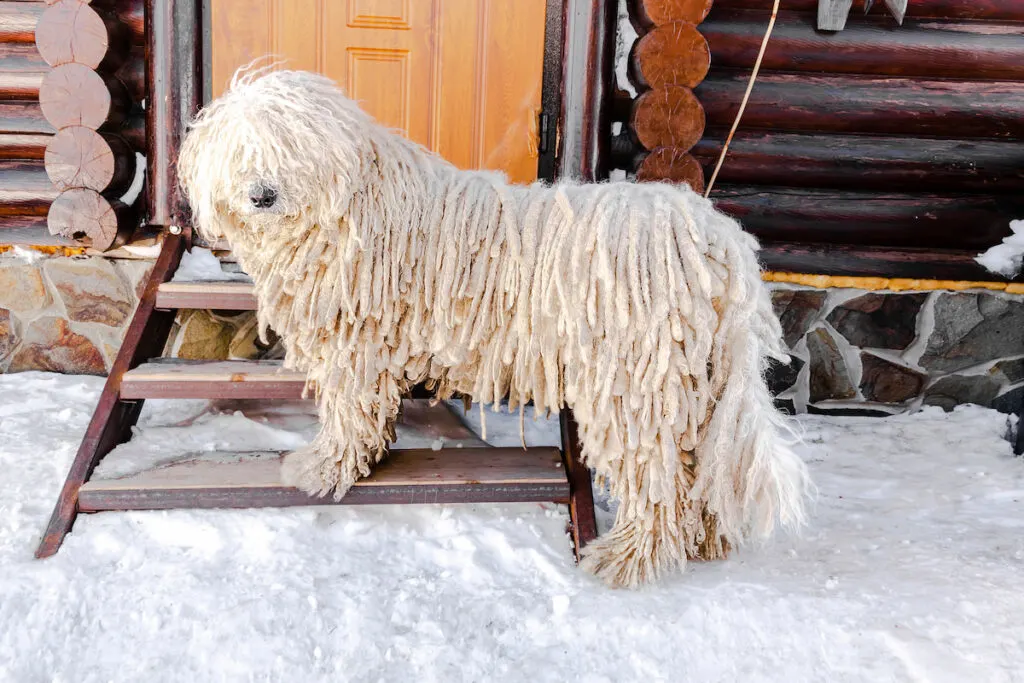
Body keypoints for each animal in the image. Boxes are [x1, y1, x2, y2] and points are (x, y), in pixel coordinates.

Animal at [180, 68, 811, 589]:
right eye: (242, 152)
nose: (262, 194)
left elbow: (347, 410)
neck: (354, 210)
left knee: (655, 476)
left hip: (636, 380)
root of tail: (715, 236)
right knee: (698, 465)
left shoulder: (354, 344)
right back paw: (705, 541)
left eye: (290, 148)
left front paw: (321, 468)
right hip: (697, 380)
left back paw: (627, 558)